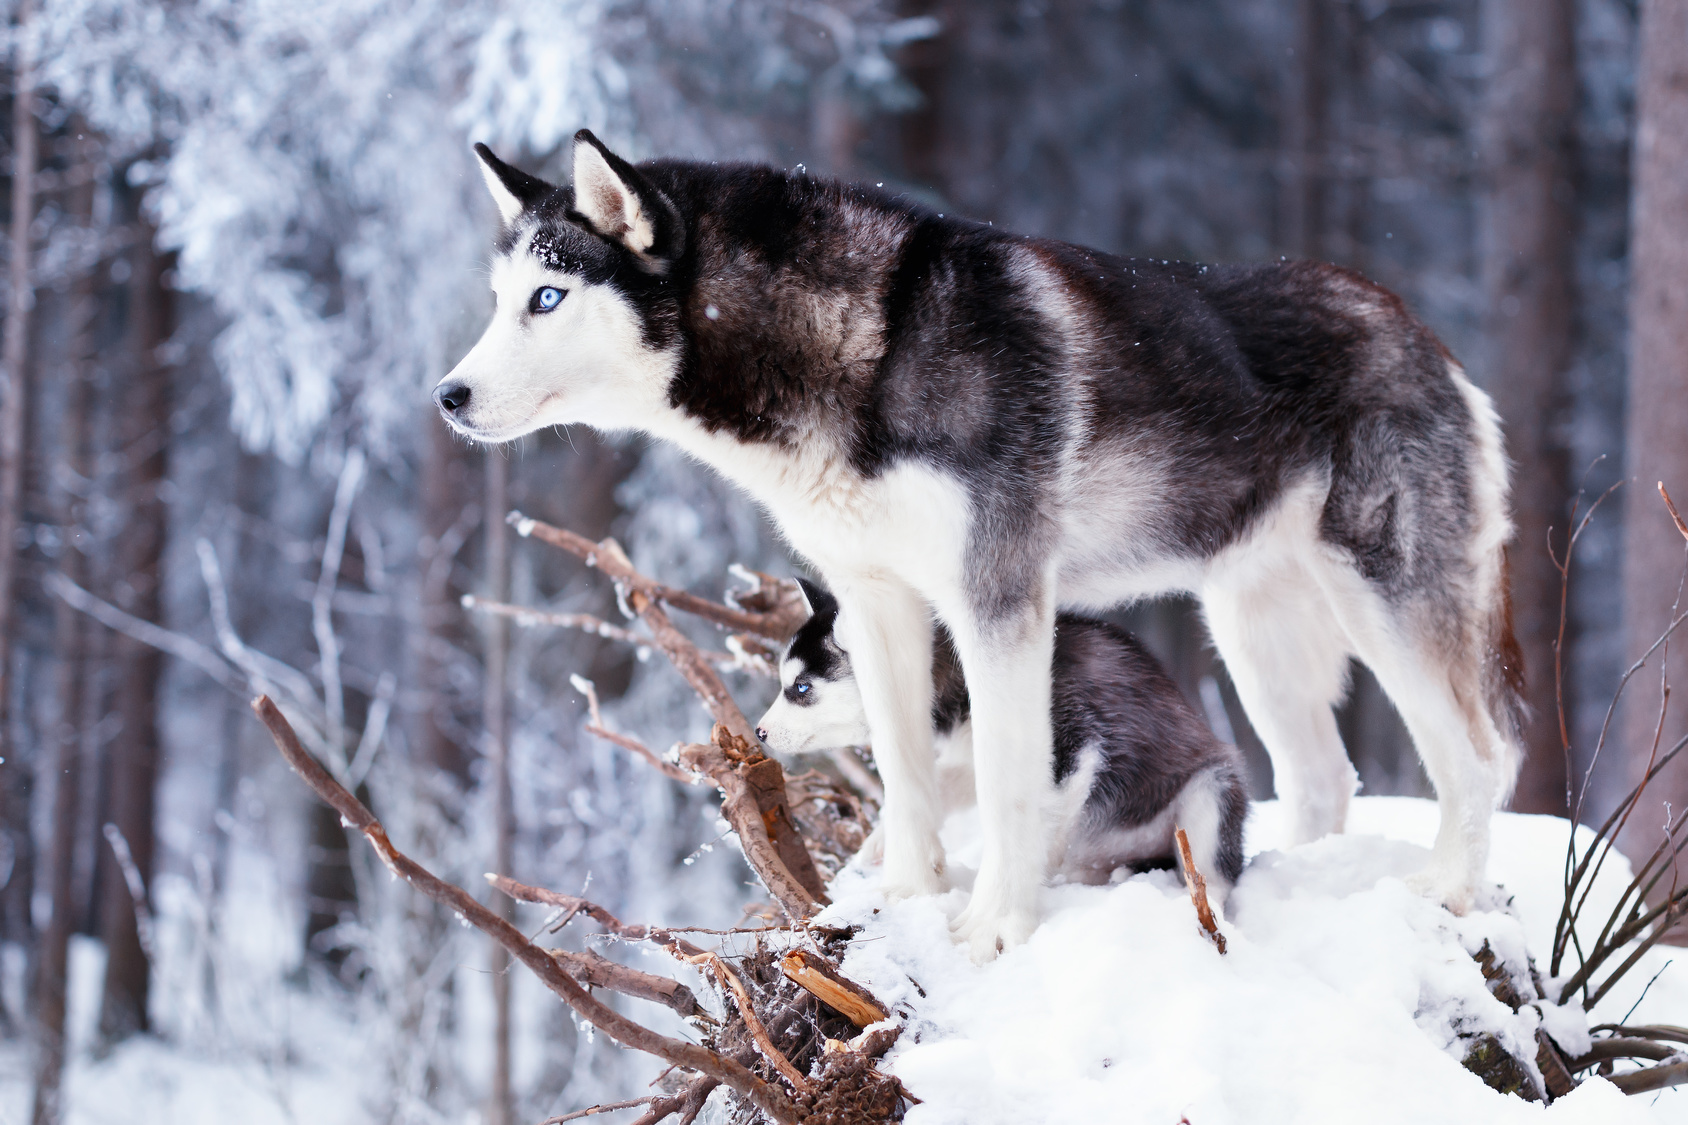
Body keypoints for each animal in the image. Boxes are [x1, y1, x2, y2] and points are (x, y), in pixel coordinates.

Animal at [759, 577, 1249, 905]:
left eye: (801, 687)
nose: (760, 732)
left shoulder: (1074, 746)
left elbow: (1040, 819)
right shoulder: (971, 758)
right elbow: (939, 790)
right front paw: (881, 845)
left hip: (1210, 792)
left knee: (1216, 876)